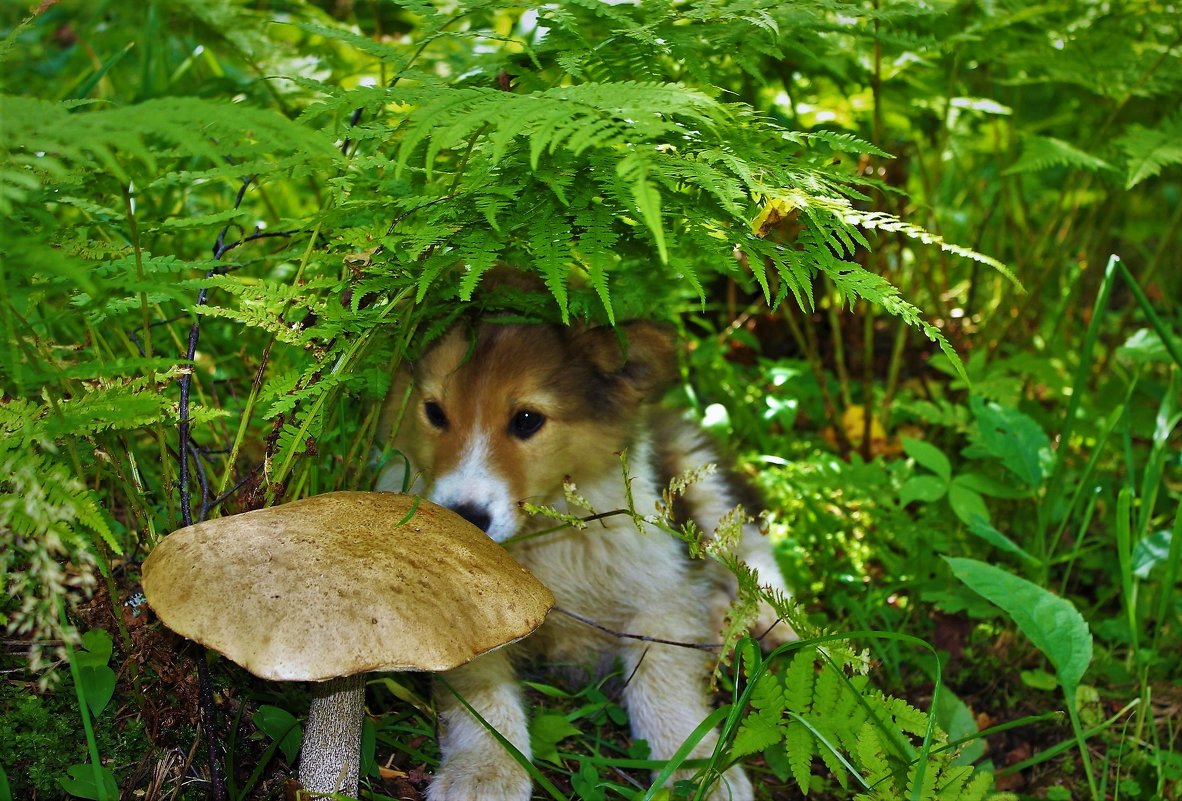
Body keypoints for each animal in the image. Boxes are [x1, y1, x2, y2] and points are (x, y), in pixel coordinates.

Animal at [380, 318, 794, 801]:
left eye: (527, 420)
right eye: (435, 413)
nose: (465, 518)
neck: (542, 539)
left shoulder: (662, 589)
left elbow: (662, 675)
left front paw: (697, 768)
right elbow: (481, 693)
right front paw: (486, 770)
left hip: (703, 479)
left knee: (752, 555)